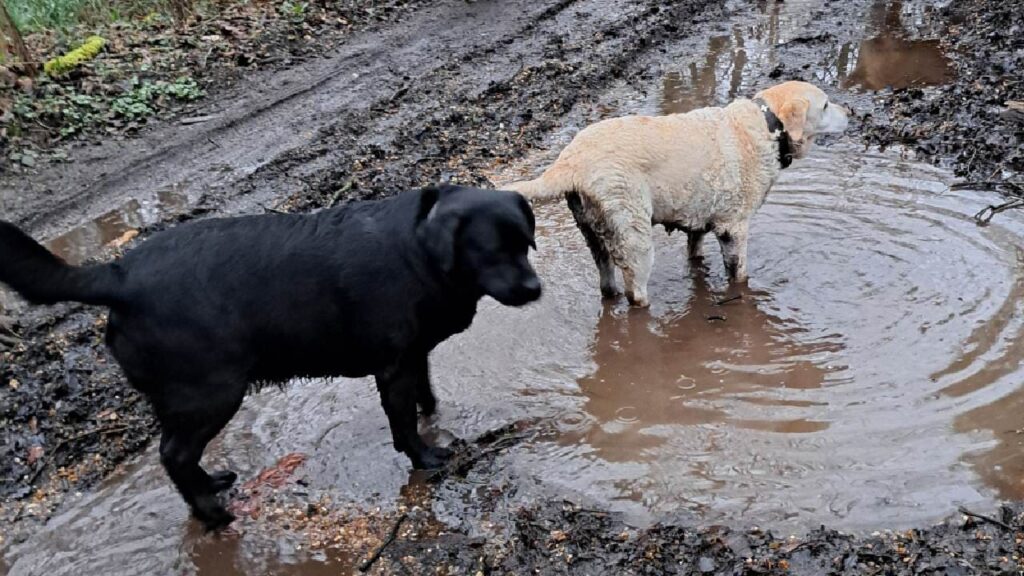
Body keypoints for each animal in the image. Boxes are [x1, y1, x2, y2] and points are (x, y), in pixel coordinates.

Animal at [0, 183, 544, 524]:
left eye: (526, 242)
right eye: (491, 251)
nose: (535, 289)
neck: (418, 249)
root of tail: (119, 276)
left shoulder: (414, 355)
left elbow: (425, 396)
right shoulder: (393, 366)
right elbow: (404, 421)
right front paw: (427, 455)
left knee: (180, 454)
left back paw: (212, 486)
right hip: (213, 391)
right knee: (173, 453)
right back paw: (213, 516)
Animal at [503, 80, 847, 307]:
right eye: (826, 104)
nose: (851, 112)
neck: (767, 125)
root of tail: (571, 160)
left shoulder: (700, 218)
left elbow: (695, 252)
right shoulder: (734, 227)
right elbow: (739, 274)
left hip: (592, 230)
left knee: (606, 280)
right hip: (633, 233)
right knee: (636, 291)